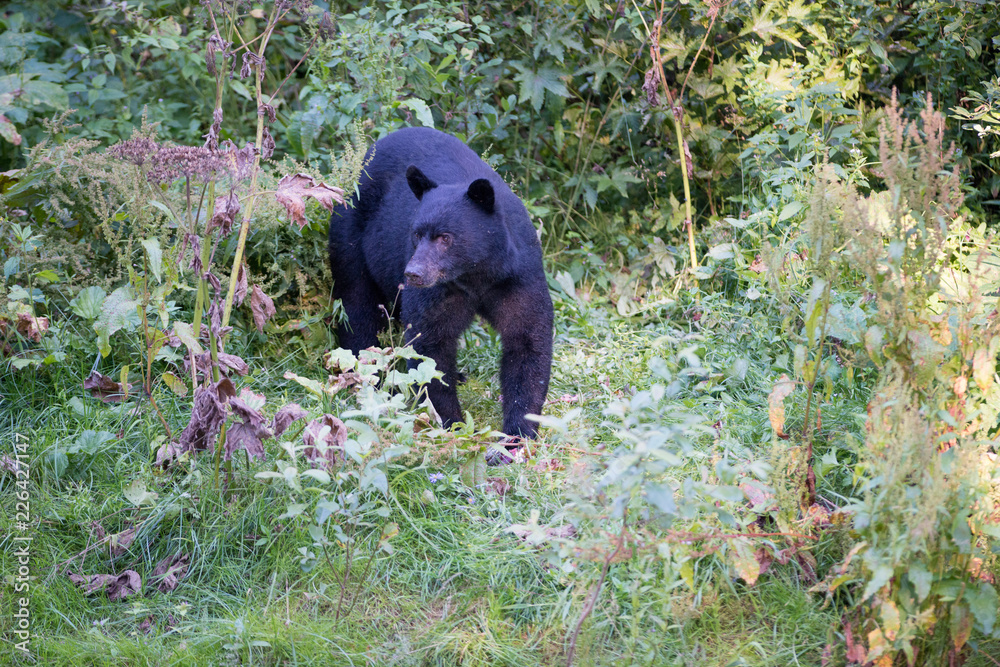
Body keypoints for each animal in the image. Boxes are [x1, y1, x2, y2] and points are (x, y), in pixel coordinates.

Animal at [328, 126, 554, 441]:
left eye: (445, 237)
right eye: (416, 233)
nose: (413, 273)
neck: (475, 275)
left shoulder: (517, 275)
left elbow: (527, 340)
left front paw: (517, 433)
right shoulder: (439, 292)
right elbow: (430, 347)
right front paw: (451, 422)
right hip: (349, 233)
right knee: (356, 305)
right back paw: (368, 377)